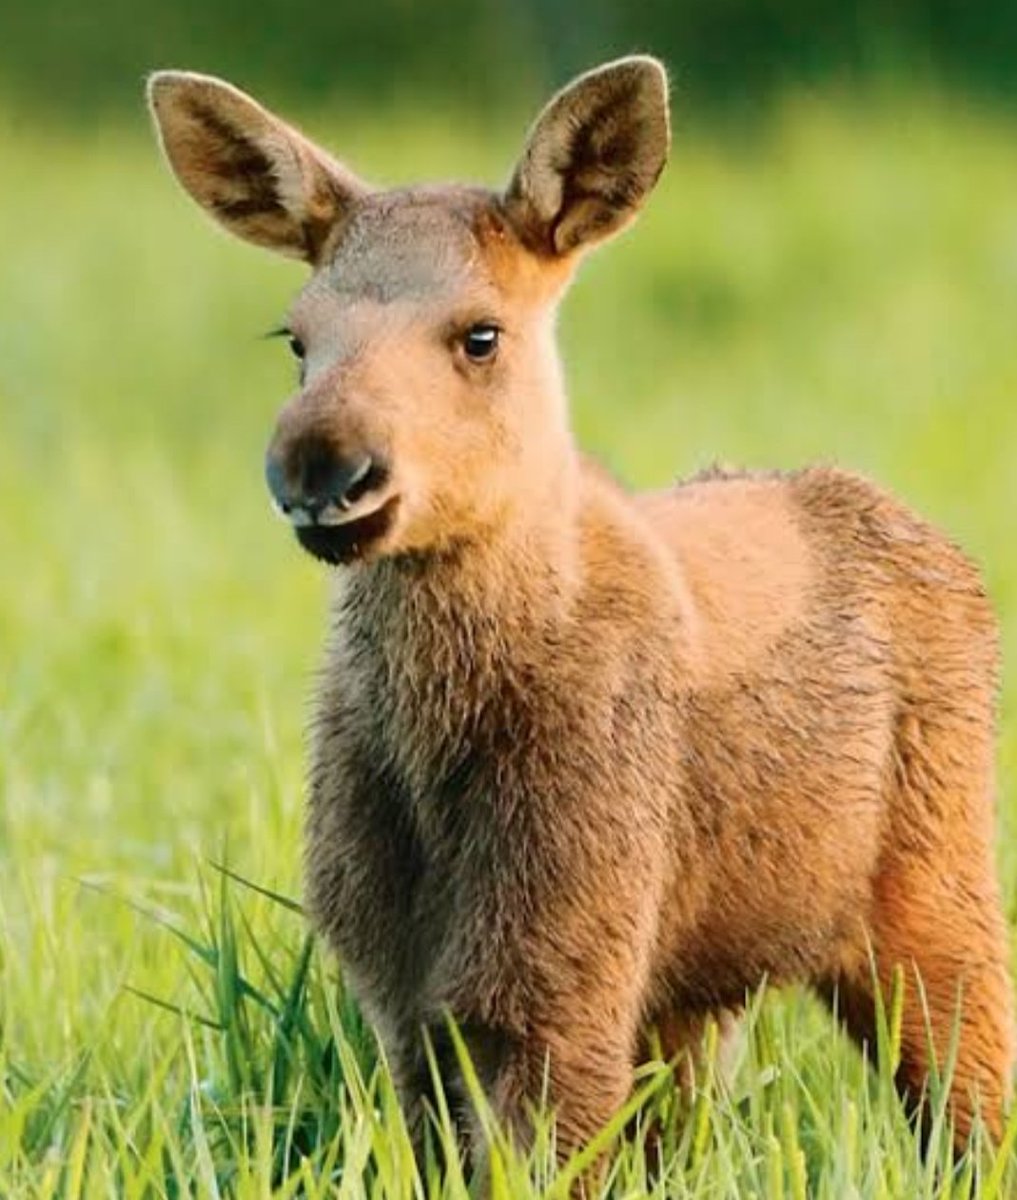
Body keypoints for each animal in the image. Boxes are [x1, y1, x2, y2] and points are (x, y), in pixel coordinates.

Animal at [148, 55, 1014, 1174]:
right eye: (296, 338)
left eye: (480, 334)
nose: (323, 465)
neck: (439, 752)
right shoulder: (396, 987)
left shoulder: (564, 963)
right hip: (693, 978)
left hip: (936, 890)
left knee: (969, 1099)